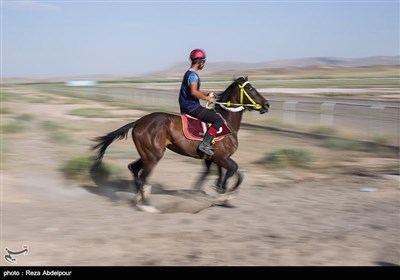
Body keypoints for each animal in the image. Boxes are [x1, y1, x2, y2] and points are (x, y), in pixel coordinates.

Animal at [90, 76, 268, 210]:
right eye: (250, 89)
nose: (266, 105)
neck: (227, 122)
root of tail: (139, 121)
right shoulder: (222, 158)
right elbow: (235, 172)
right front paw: (224, 195)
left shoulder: (216, 159)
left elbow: (223, 175)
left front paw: (222, 195)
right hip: (153, 156)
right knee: (142, 177)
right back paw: (147, 204)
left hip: (148, 155)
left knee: (133, 168)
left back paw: (139, 198)